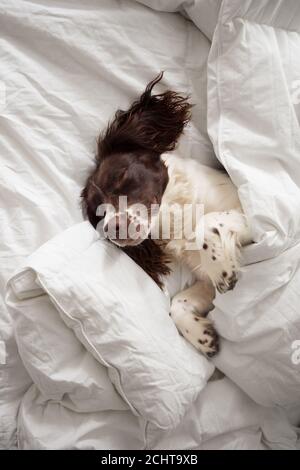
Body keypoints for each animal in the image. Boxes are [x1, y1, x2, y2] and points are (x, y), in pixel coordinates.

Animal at [81, 73, 251, 358]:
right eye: (98, 215)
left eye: (121, 176)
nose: (112, 228)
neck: (175, 218)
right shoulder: (202, 278)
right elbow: (177, 304)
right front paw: (202, 336)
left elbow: (208, 223)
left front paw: (222, 269)